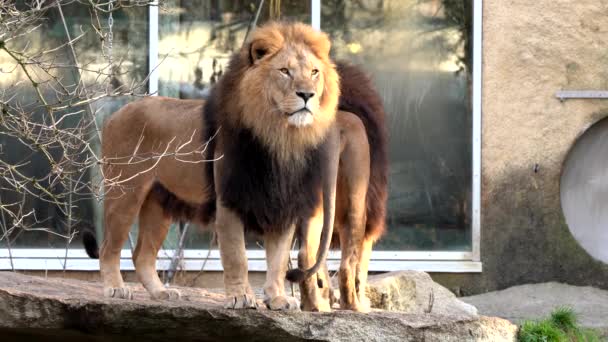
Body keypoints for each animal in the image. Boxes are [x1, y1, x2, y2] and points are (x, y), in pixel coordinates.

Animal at [83, 20, 388, 312]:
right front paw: (241, 297)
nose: (307, 95)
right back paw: (115, 288)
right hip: (125, 193)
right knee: (110, 247)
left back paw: (161, 292)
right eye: (285, 71)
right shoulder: (229, 201)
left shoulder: (283, 204)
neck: (281, 139)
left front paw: (278, 299)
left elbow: (278, 260)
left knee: (142, 254)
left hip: (160, 202)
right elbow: (237, 256)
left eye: (314, 72)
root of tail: (116, 114)